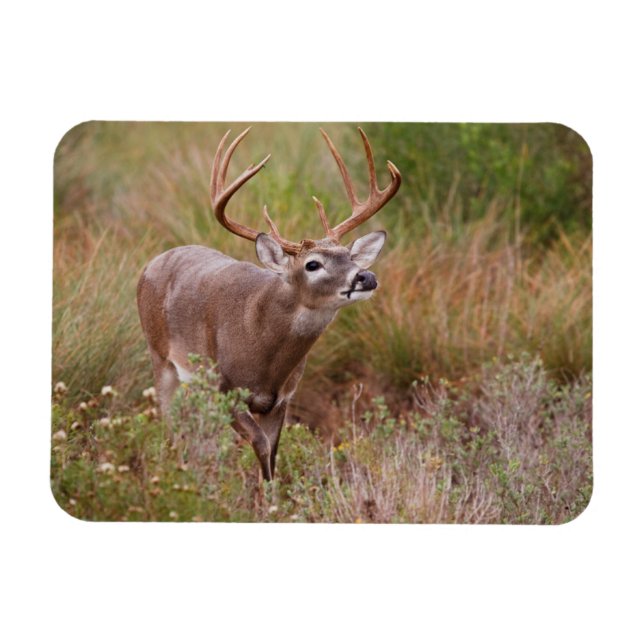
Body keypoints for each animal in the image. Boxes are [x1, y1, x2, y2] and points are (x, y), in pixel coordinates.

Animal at [136, 126, 402, 481]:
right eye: (312, 264)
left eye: (349, 256)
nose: (365, 276)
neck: (264, 351)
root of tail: (153, 262)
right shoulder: (226, 389)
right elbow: (260, 445)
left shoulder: (283, 398)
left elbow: (272, 453)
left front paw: (272, 491)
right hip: (159, 355)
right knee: (168, 423)